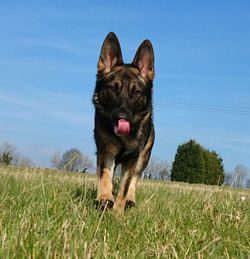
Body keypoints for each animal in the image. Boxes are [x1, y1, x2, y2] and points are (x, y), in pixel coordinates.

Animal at [92, 32, 154, 213]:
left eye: (136, 92)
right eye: (113, 88)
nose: (123, 116)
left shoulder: (133, 157)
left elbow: (125, 186)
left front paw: (118, 211)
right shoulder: (106, 151)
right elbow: (105, 176)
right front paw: (105, 198)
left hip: (143, 158)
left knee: (134, 179)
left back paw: (130, 200)